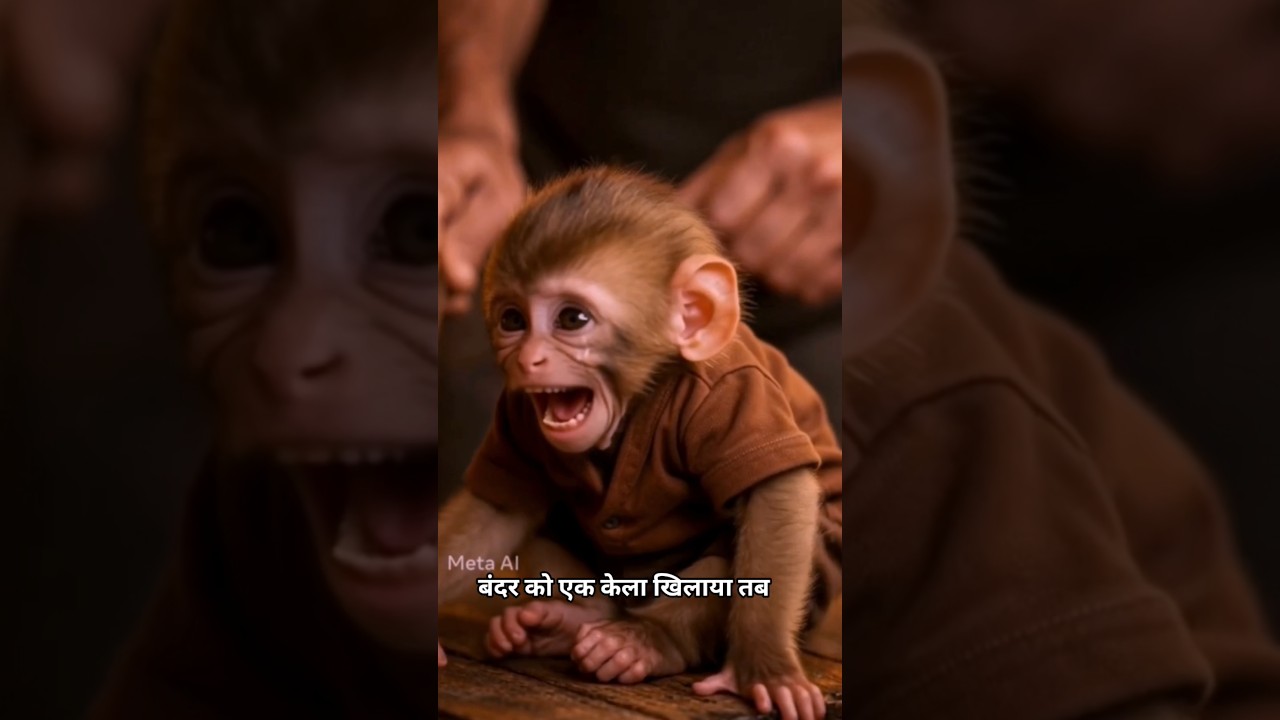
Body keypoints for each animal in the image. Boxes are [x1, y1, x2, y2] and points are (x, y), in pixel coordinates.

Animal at [436, 166, 842, 720]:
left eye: (572, 319)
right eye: (512, 320)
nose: (527, 360)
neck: (634, 399)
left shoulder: (732, 390)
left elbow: (775, 496)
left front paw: (764, 668)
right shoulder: (516, 417)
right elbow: (497, 511)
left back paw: (645, 641)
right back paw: (565, 624)